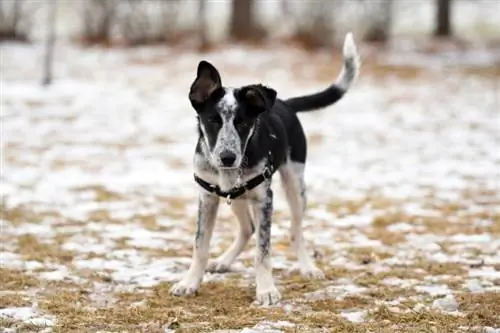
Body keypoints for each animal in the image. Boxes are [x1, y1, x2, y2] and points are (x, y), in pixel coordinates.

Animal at [170, 32, 362, 304]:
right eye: (212, 121)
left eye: (243, 123)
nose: (227, 158)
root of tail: (285, 104)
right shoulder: (208, 197)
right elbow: (200, 245)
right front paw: (190, 283)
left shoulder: (264, 199)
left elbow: (263, 251)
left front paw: (266, 290)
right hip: (235, 196)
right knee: (248, 227)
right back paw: (224, 261)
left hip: (295, 186)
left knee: (295, 231)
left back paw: (308, 267)